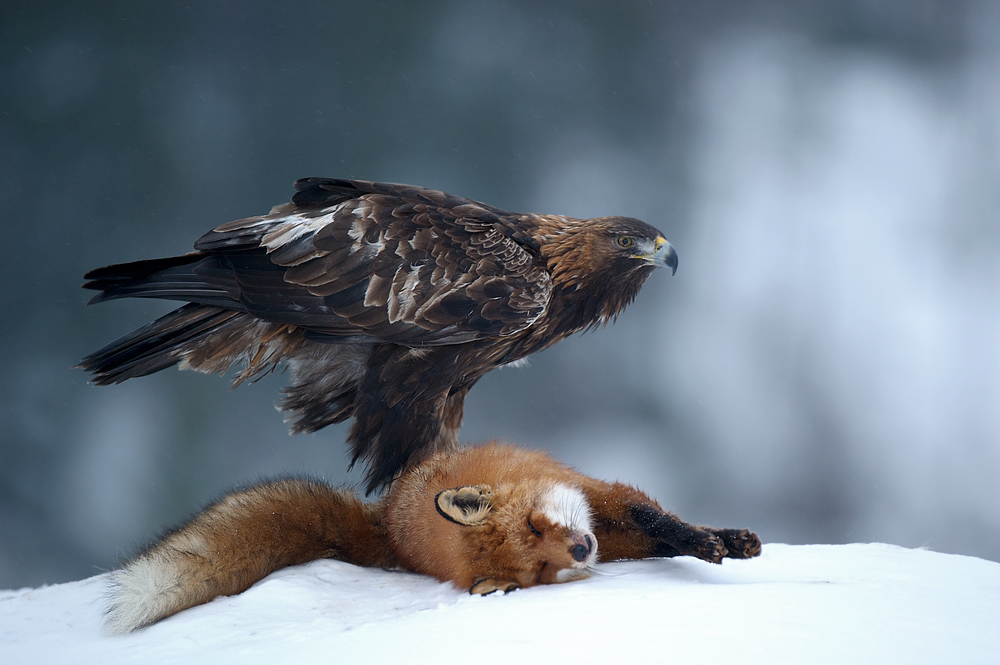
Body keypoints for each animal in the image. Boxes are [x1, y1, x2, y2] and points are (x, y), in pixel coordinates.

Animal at [105, 443, 761, 633]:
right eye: (538, 572)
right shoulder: (606, 529)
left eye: (535, 526)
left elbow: (661, 524)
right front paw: (715, 545)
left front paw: (724, 541)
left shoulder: (598, 494)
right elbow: (661, 535)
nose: (580, 551)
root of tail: (385, 523)